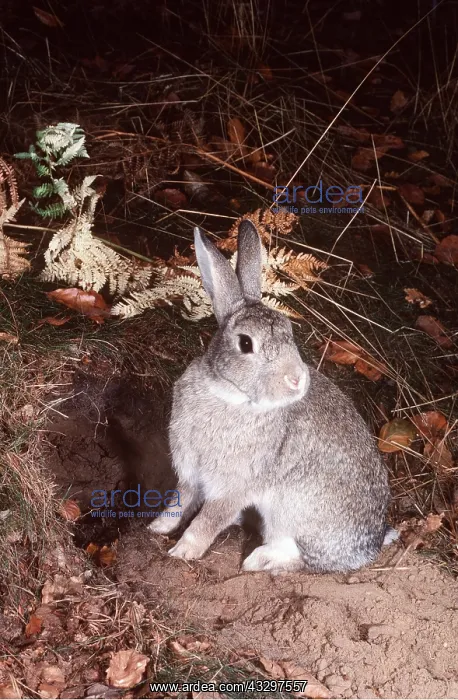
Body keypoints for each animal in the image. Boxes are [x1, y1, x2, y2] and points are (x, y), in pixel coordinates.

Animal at [148, 219, 391, 573]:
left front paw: (182, 551)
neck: (231, 396)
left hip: (291, 511)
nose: (297, 379)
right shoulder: (191, 473)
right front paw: (158, 526)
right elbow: (180, 501)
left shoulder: (234, 486)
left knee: (296, 555)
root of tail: (367, 550)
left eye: (289, 333)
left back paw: (256, 560)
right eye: (246, 344)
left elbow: (208, 520)